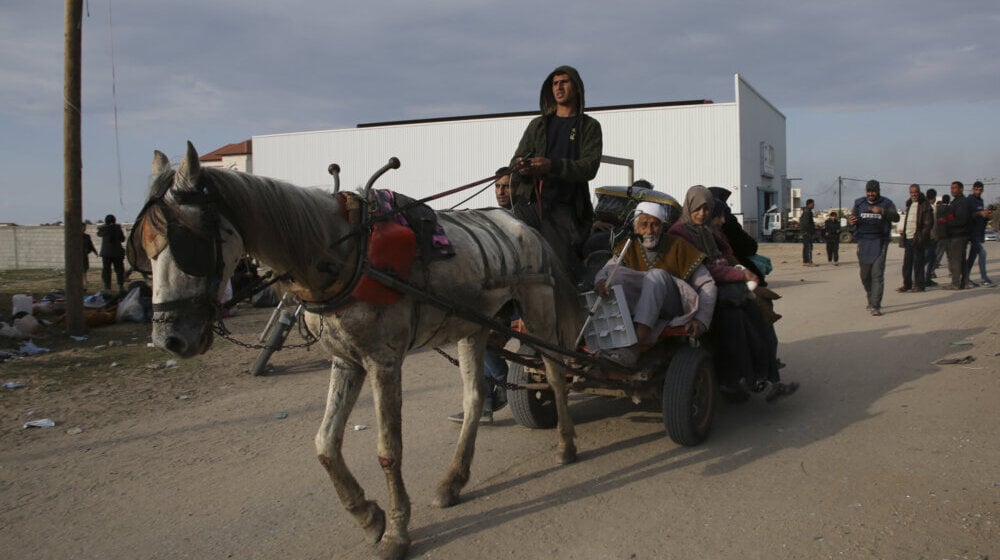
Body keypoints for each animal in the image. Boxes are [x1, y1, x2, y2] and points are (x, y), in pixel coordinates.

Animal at [137, 142, 584, 556]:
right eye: (145, 249)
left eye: (186, 242)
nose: (168, 339)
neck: (344, 255)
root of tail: (520, 223)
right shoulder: (345, 360)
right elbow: (324, 444)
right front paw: (367, 516)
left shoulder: (383, 361)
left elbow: (388, 450)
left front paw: (397, 532)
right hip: (473, 325)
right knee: (474, 397)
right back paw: (453, 481)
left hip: (537, 308)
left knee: (555, 371)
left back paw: (566, 444)